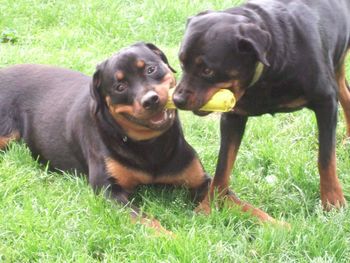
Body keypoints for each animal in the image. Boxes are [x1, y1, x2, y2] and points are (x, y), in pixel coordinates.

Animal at [0, 43, 211, 235]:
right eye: (120, 87)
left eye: (151, 69)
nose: (150, 100)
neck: (149, 145)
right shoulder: (108, 191)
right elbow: (144, 220)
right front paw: (170, 238)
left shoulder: (200, 177)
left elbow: (214, 194)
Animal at [173, 0, 350, 222]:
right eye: (182, 63)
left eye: (207, 70)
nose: (177, 99)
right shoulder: (233, 117)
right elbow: (222, 167)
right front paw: (209, 206)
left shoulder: (325, 101)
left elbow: (325, 159)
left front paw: (332, 201)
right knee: (346, 93)